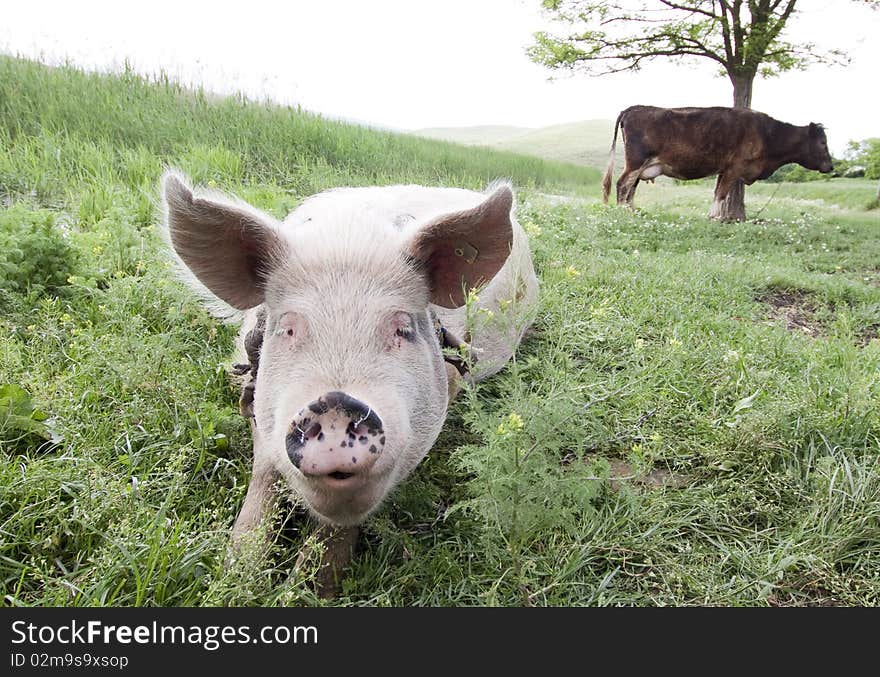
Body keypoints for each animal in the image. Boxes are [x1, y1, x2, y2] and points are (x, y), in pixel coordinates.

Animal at [162, 172, 540, 596]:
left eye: (403, 328)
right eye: (287, 328)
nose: (335, 407)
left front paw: (309, 589)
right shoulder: (254, 387)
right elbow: (265, 473)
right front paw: (237, 576)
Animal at [600, 105, 836, 219]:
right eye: (823, 142)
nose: (831, 166)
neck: (768, 135)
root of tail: (634, 108)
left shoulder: (725, 168)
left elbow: (718, 192)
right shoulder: (735, 166)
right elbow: (722, 193)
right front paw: (714, 217)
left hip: (642, 164)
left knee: (631, 187)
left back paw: (632, 211)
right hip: (636, 160)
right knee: (623, 183)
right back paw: (622, 211)